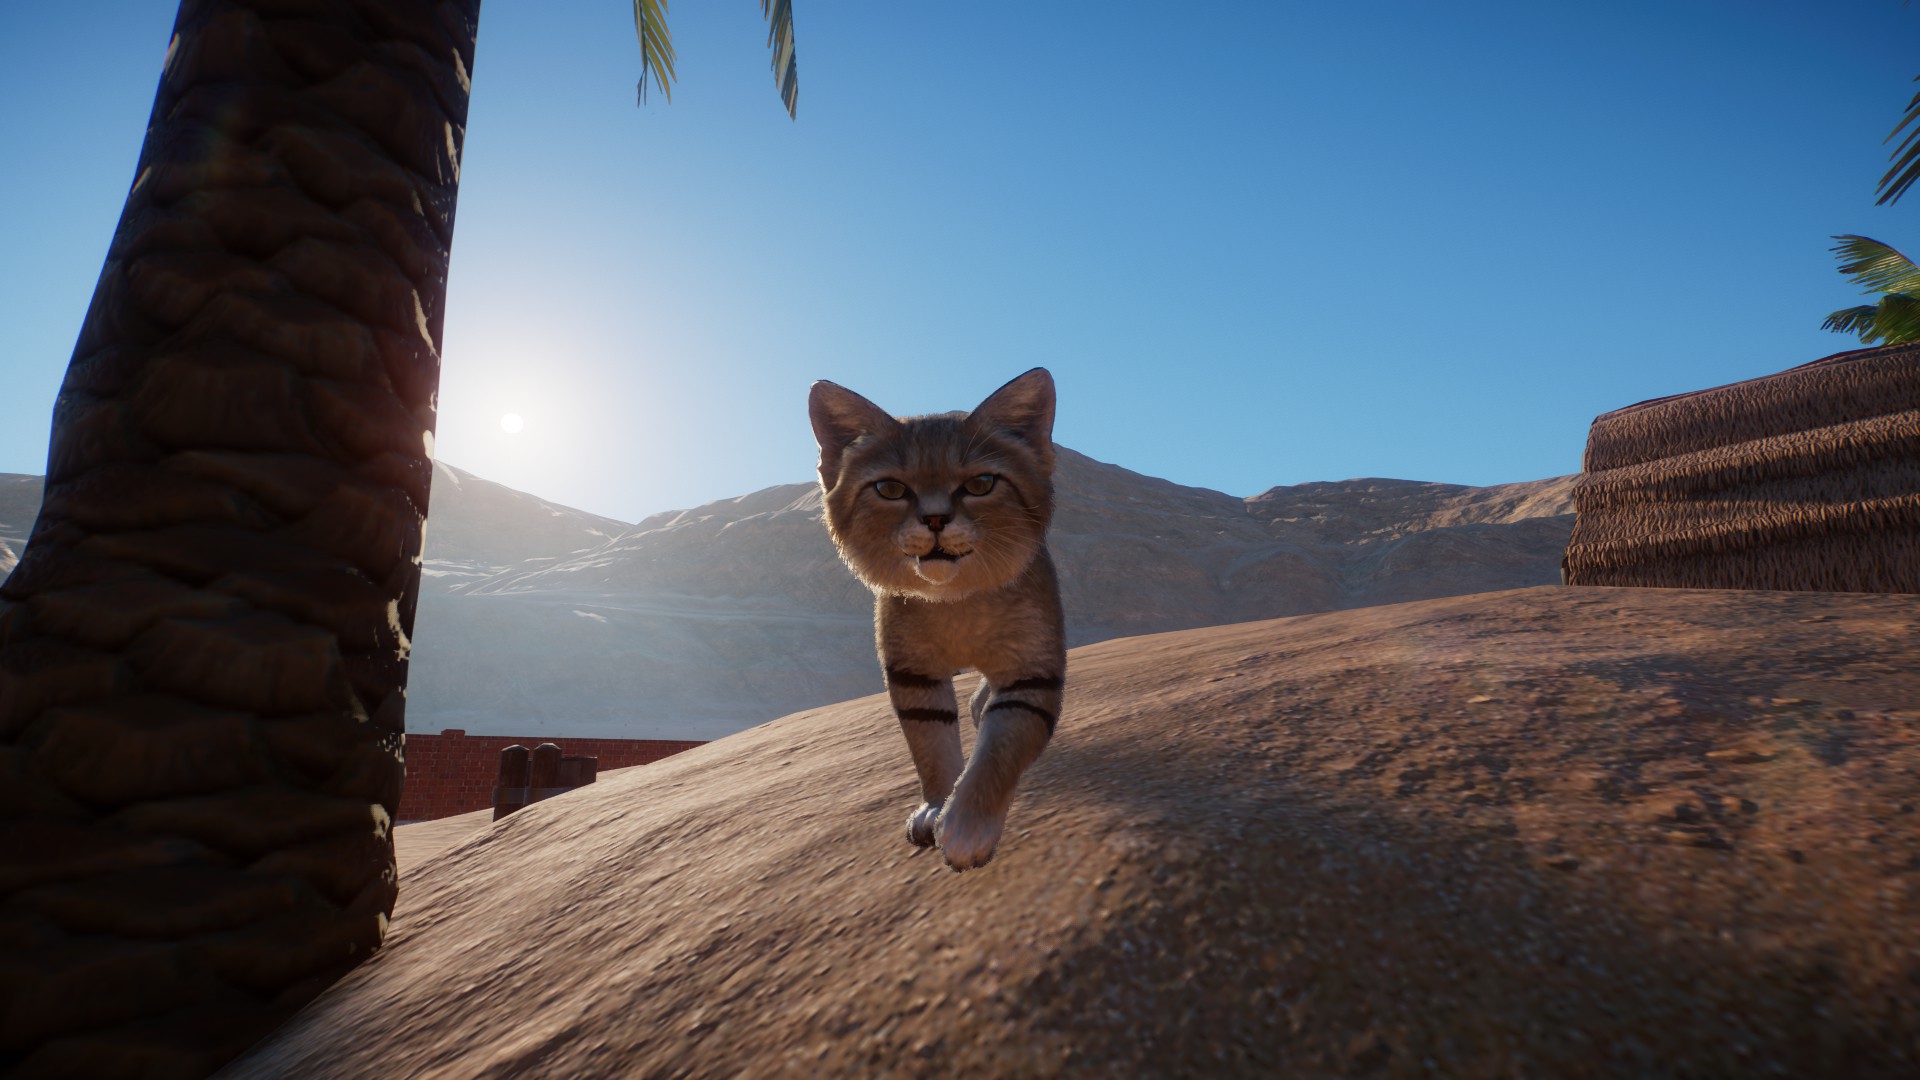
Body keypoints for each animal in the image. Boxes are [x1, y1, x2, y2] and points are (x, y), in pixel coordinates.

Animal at [806, 367, 1067, 864]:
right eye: (891, 489)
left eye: (980, 484)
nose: (934, 520)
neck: (956, 603)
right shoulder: (914, 676)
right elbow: (930, 746)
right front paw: (936, 806)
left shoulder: (1031, 674)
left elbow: (1001, 749)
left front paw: (967, 826)